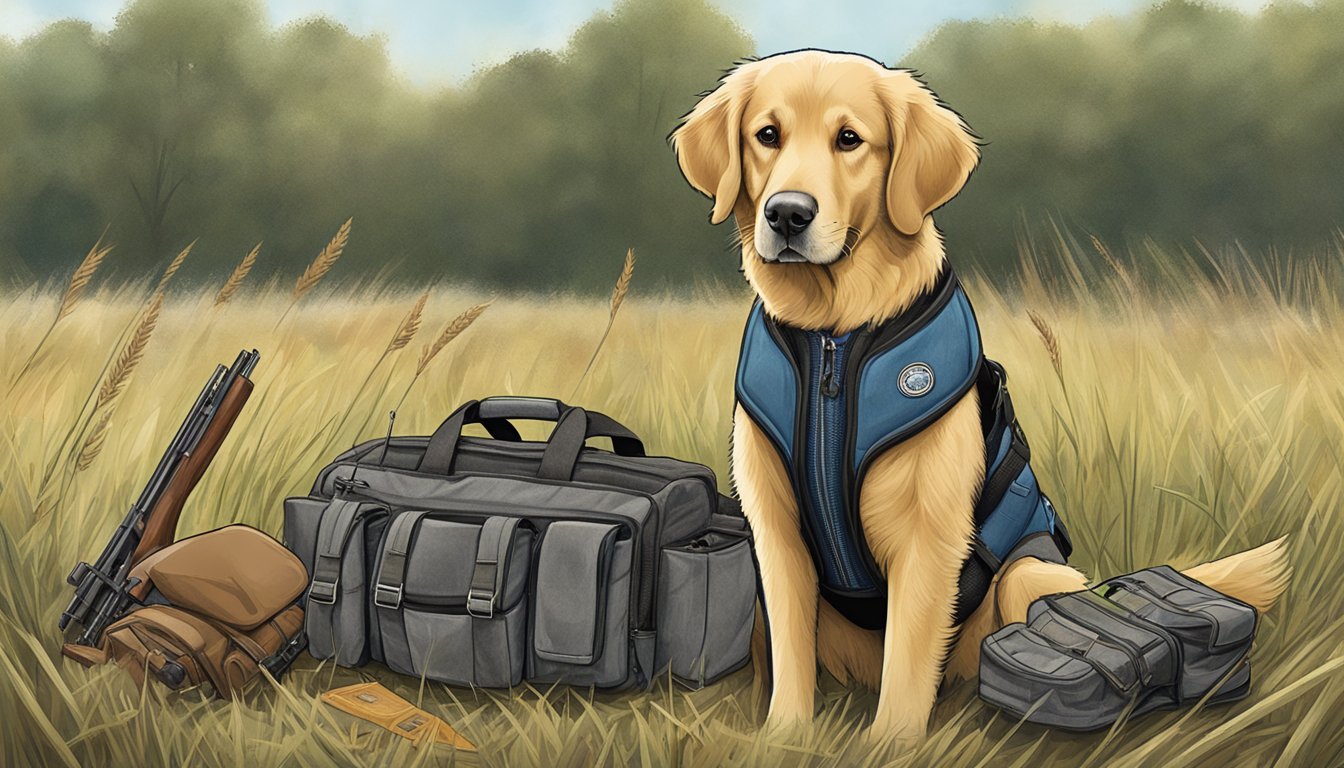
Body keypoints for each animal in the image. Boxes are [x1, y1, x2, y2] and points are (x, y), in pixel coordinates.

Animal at [672, 48, 1290, 747]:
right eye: (767, 135)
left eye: (850, 139)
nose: (787, 213)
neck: (835, 335)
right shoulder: (775, 534)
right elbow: (793, 653)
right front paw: (785, 737)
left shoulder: (930, 538)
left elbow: (910, 661)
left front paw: (890, 747)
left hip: (1031, 575)